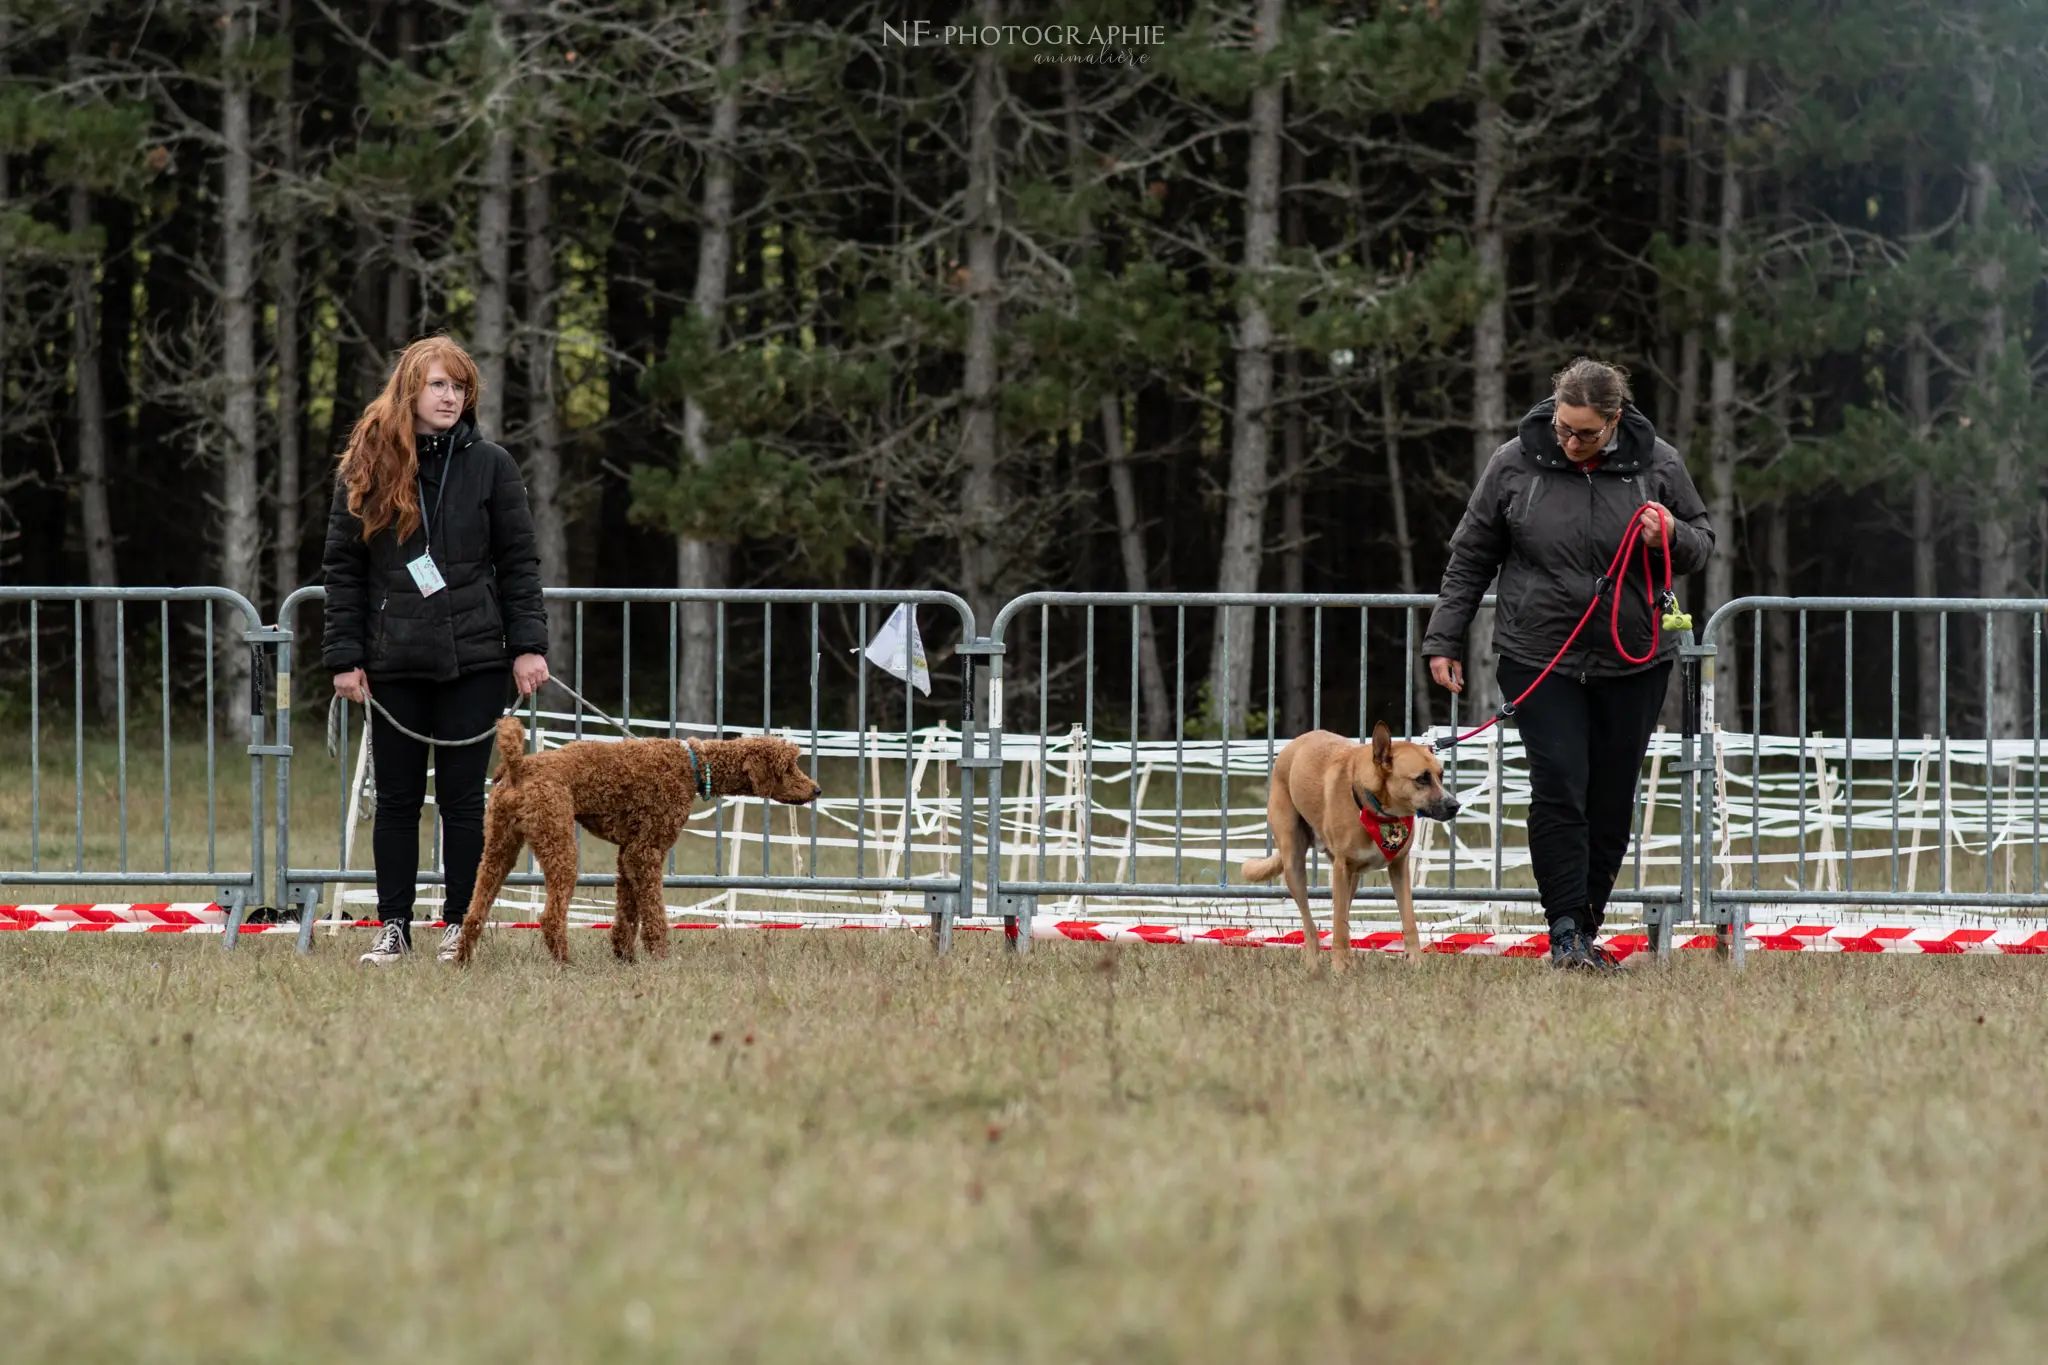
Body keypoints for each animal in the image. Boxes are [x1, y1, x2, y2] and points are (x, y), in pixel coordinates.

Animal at [1245, 724, 1458, 961]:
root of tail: (1293, 745)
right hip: (1295, 864)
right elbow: (1339, 926)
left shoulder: (1399, 867)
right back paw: (1314, 962)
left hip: (1352, 878)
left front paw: (1416, 962)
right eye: (1422, 778)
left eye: (1441, 775)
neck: (1378, 811)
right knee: (1310, 925)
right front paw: (1340, 965)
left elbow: (1409, 920)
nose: (1454, 806)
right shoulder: (1341, 868)